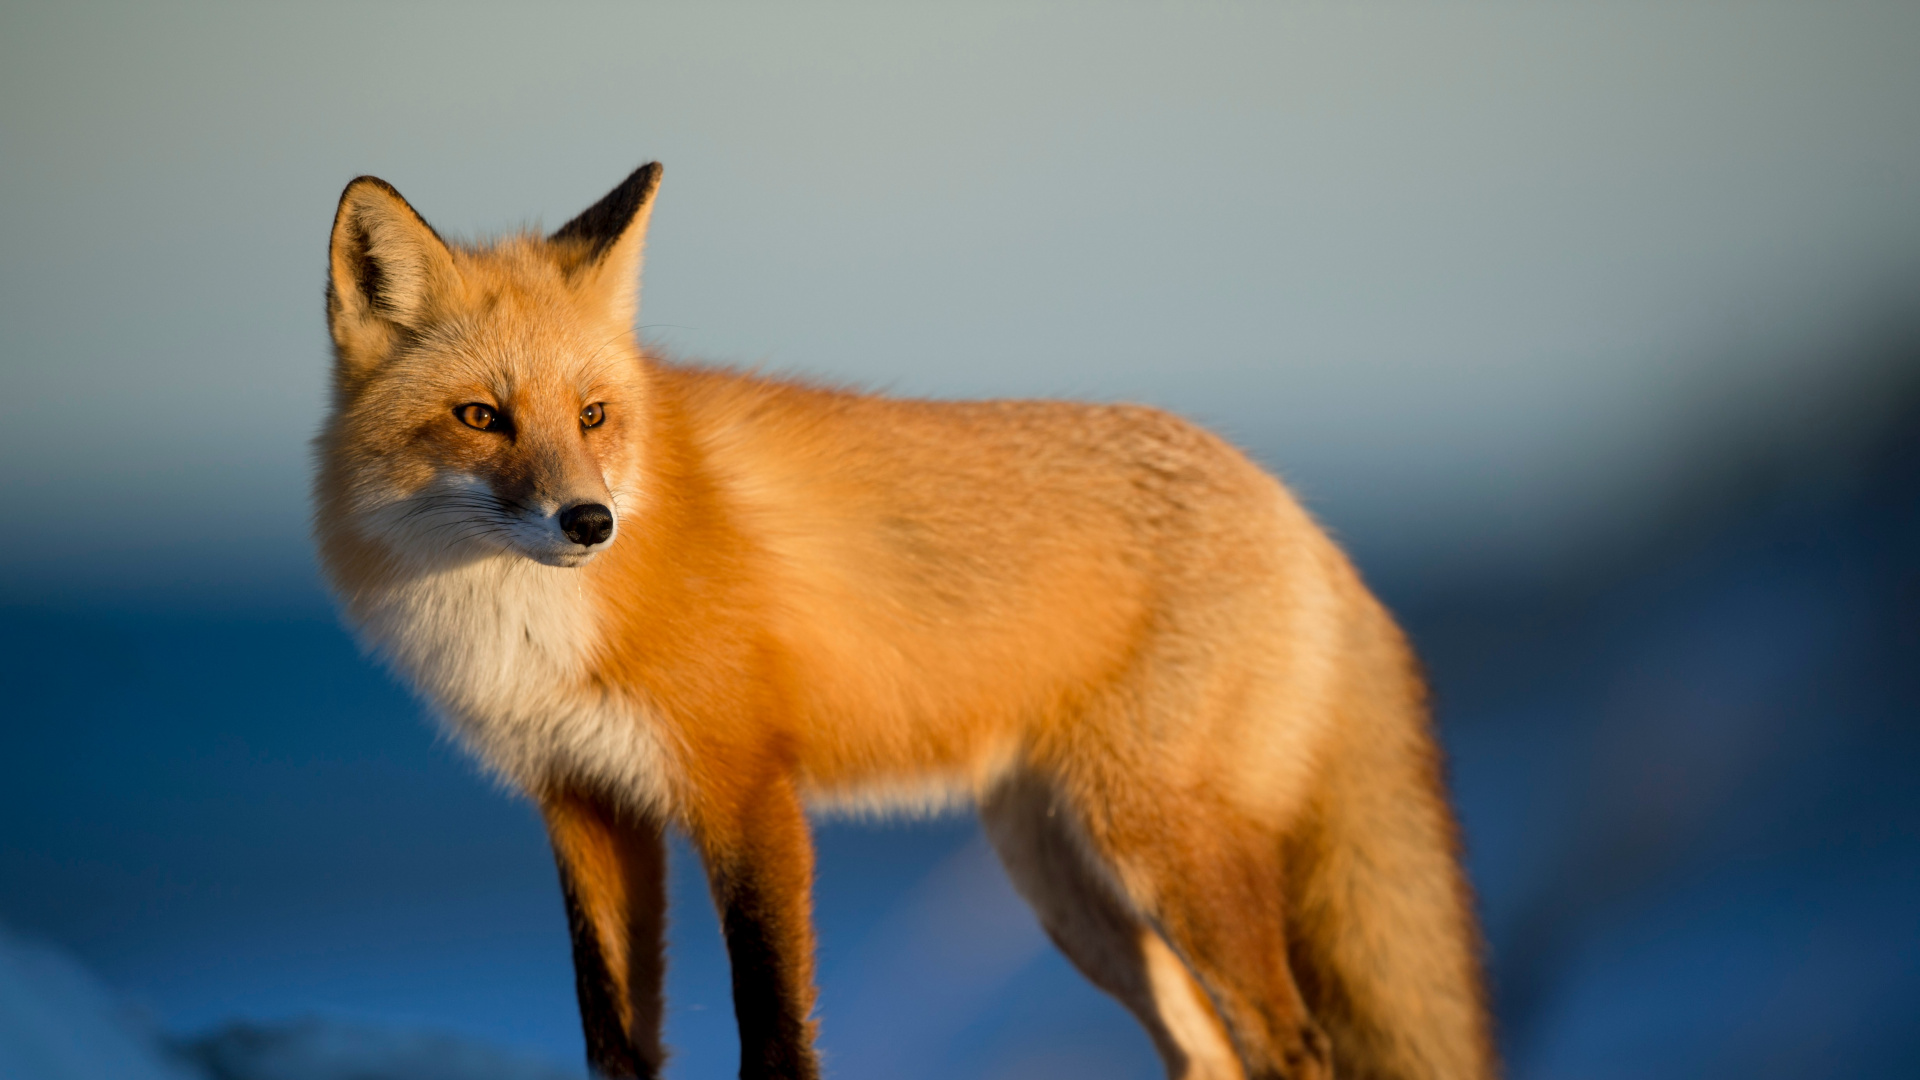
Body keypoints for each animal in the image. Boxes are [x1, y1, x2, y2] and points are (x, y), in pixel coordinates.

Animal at [314, 161, 1497, 1076]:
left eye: (594, 416)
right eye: (482, 417)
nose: (590, 521)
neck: (523, 627)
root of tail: (1296, 509)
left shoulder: (746, 791)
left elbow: (773, 1032)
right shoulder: (584, 804)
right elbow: (615, 1037)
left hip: (1162, 848)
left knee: (1291, 1044)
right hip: (1066, 885)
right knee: (1204, 1047)